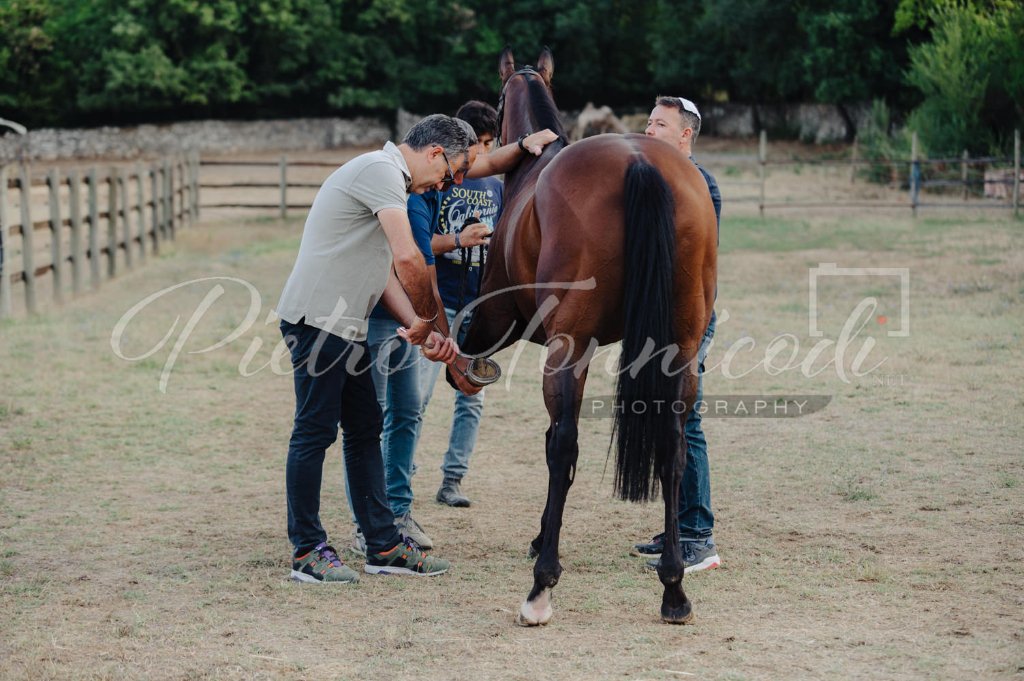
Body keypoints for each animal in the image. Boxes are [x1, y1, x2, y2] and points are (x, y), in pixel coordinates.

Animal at [460, 45, 716, 622]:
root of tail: (639, 161)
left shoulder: (505, 324)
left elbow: (555, 441)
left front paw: (542, 544)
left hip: (568, 350)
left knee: (564, 445)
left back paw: (542, 586)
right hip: (682, 350)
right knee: (674, 448)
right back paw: (673, 587)